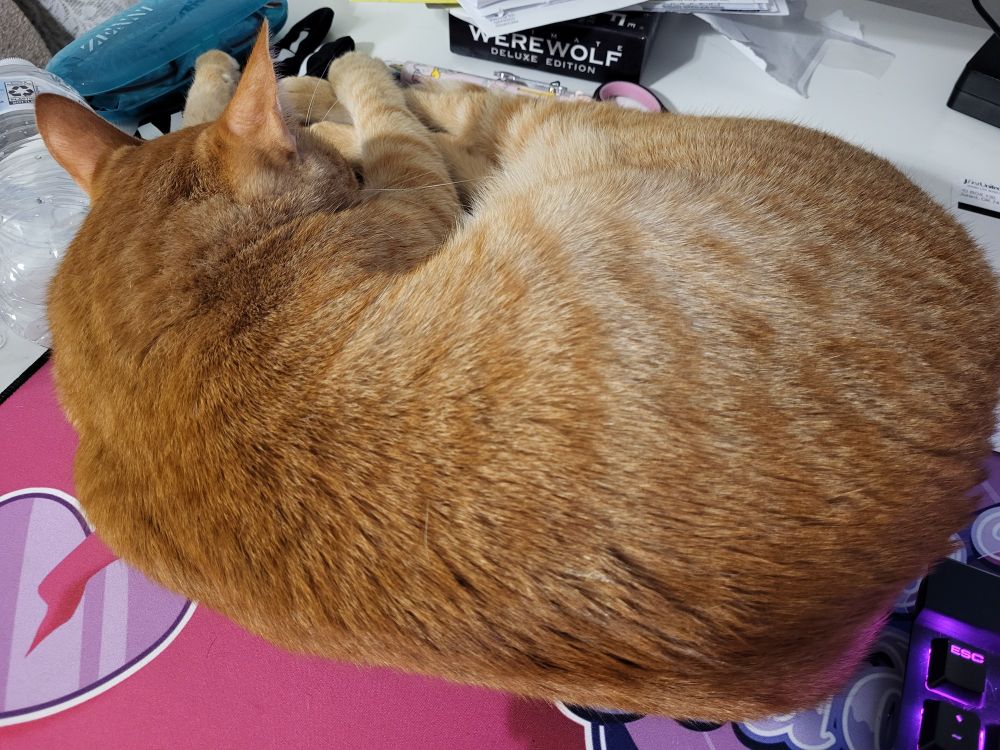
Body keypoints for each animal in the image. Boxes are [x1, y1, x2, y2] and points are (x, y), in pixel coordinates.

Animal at [34, 24, 1000, 721]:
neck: (144, 330)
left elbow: (241, 113)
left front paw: (249, 78)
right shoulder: (408, 193)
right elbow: (374, 122)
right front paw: (296, 82)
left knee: (453, 111)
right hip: (552, 132)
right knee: (453, 104)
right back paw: (333, 71)